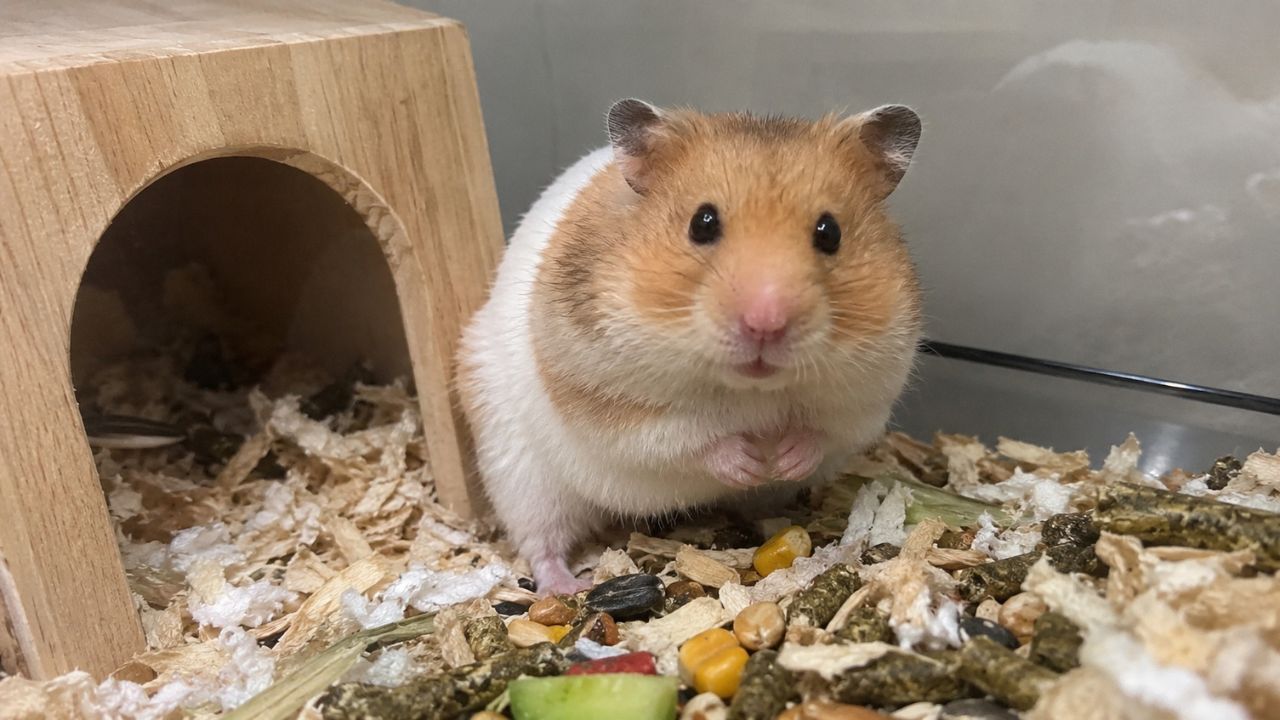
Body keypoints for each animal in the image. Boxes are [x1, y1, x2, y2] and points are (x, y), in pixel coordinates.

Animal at [457, 99, 924, 594]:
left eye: (829, 232)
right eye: (703, 223)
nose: (765, 324)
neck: (749, 391)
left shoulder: (868, 397)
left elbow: (824, 432)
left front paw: (783, 459)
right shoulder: (608, 403)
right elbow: (687, 437)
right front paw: (750, 462)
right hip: (520, 473)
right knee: (541, 542)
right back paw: (570, 587)